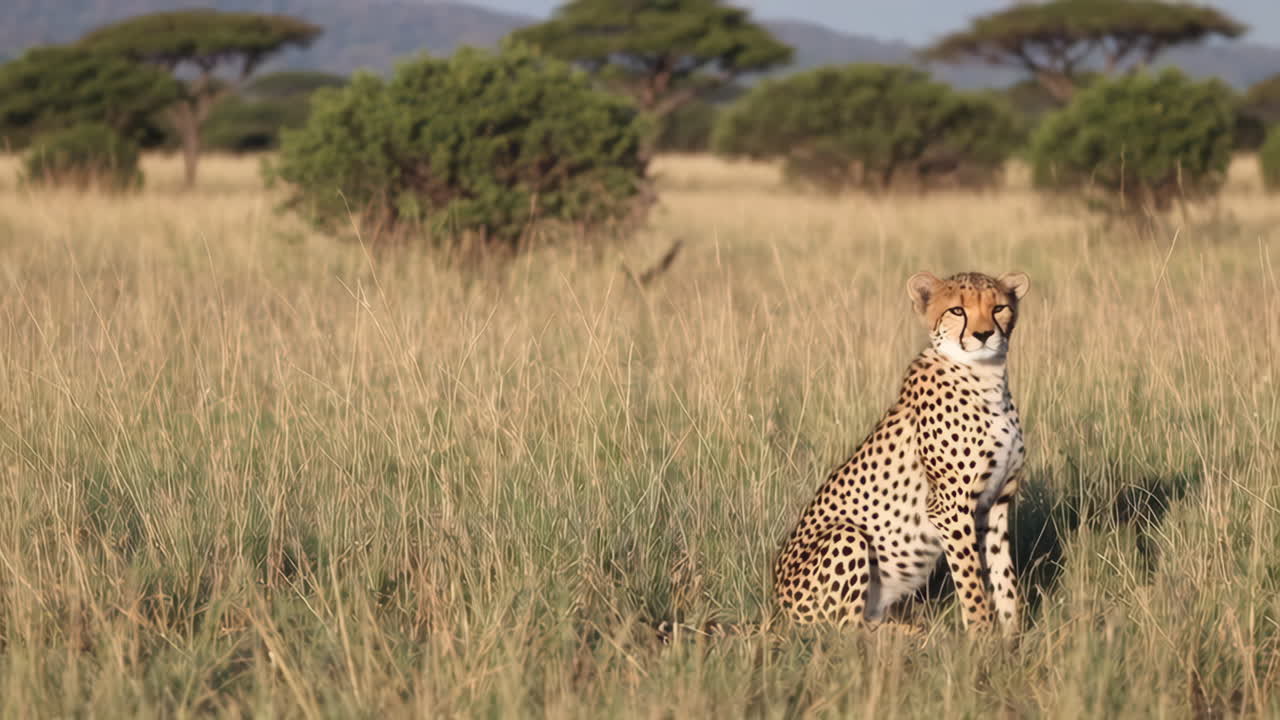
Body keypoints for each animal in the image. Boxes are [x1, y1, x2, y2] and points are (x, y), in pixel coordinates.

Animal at [772, 270, 1031, 638]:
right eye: (957, 310)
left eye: (998, 308)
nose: (983, 335)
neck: (987, 378)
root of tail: (777, 609)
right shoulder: (949, 506)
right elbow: (971, 580)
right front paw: (981, 635)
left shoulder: (995, 502)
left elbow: (1002, 575)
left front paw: (1012, 636)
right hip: (846, 535)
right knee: (844, 630)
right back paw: (912, 633)